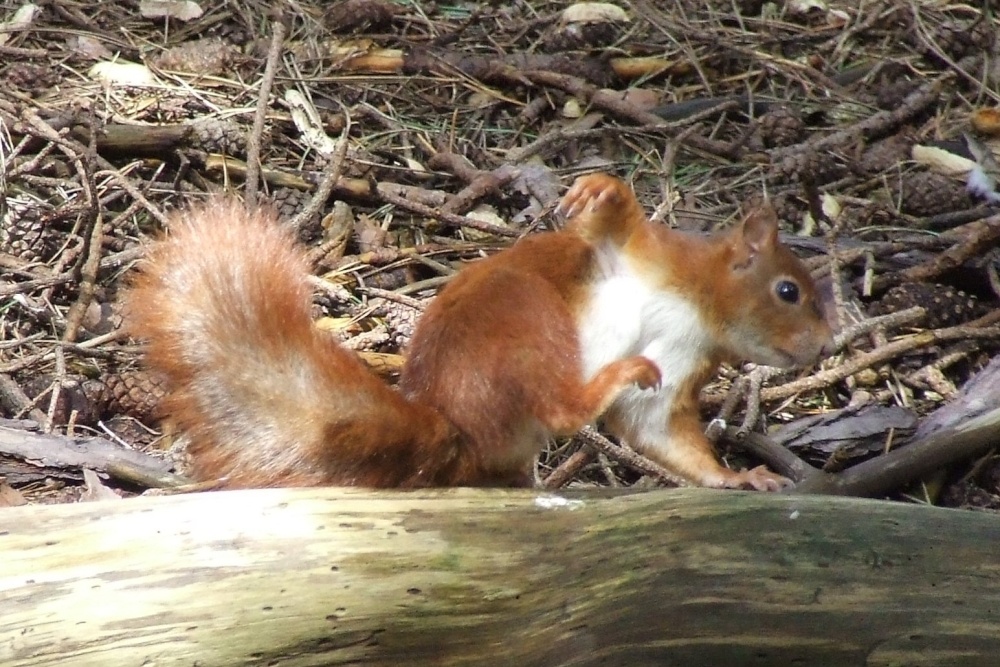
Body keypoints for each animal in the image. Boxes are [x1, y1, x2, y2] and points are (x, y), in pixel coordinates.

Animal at [127, 173, 832, 491]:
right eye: (788, 290)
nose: (825, 345)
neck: (698, 306)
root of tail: (454, 427)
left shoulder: (682, 361)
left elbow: (661, 433)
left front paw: (741, 479)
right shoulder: (639, 251)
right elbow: (615, 220)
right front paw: (600, 190)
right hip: (526, 315)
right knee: (559, 404)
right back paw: (609, 374)